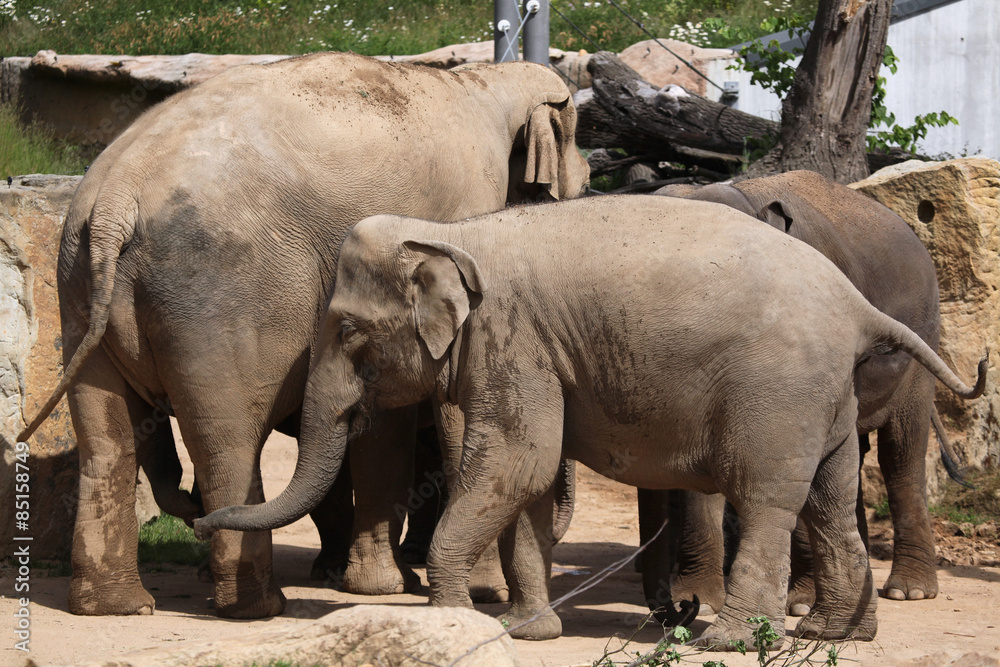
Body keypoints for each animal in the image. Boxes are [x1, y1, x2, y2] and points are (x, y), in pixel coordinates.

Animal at [17, 51, 589, 619]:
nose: (586, 181)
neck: (484, 81)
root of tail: (115, 199)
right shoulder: (465, 201)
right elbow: (445, 416)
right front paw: (469, 593)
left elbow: (384, 420)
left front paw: (378, 584)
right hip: (217, 294)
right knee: (227, 439)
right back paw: (257, 605)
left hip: (78, 281)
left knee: (106, 439)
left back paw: (118, 605)